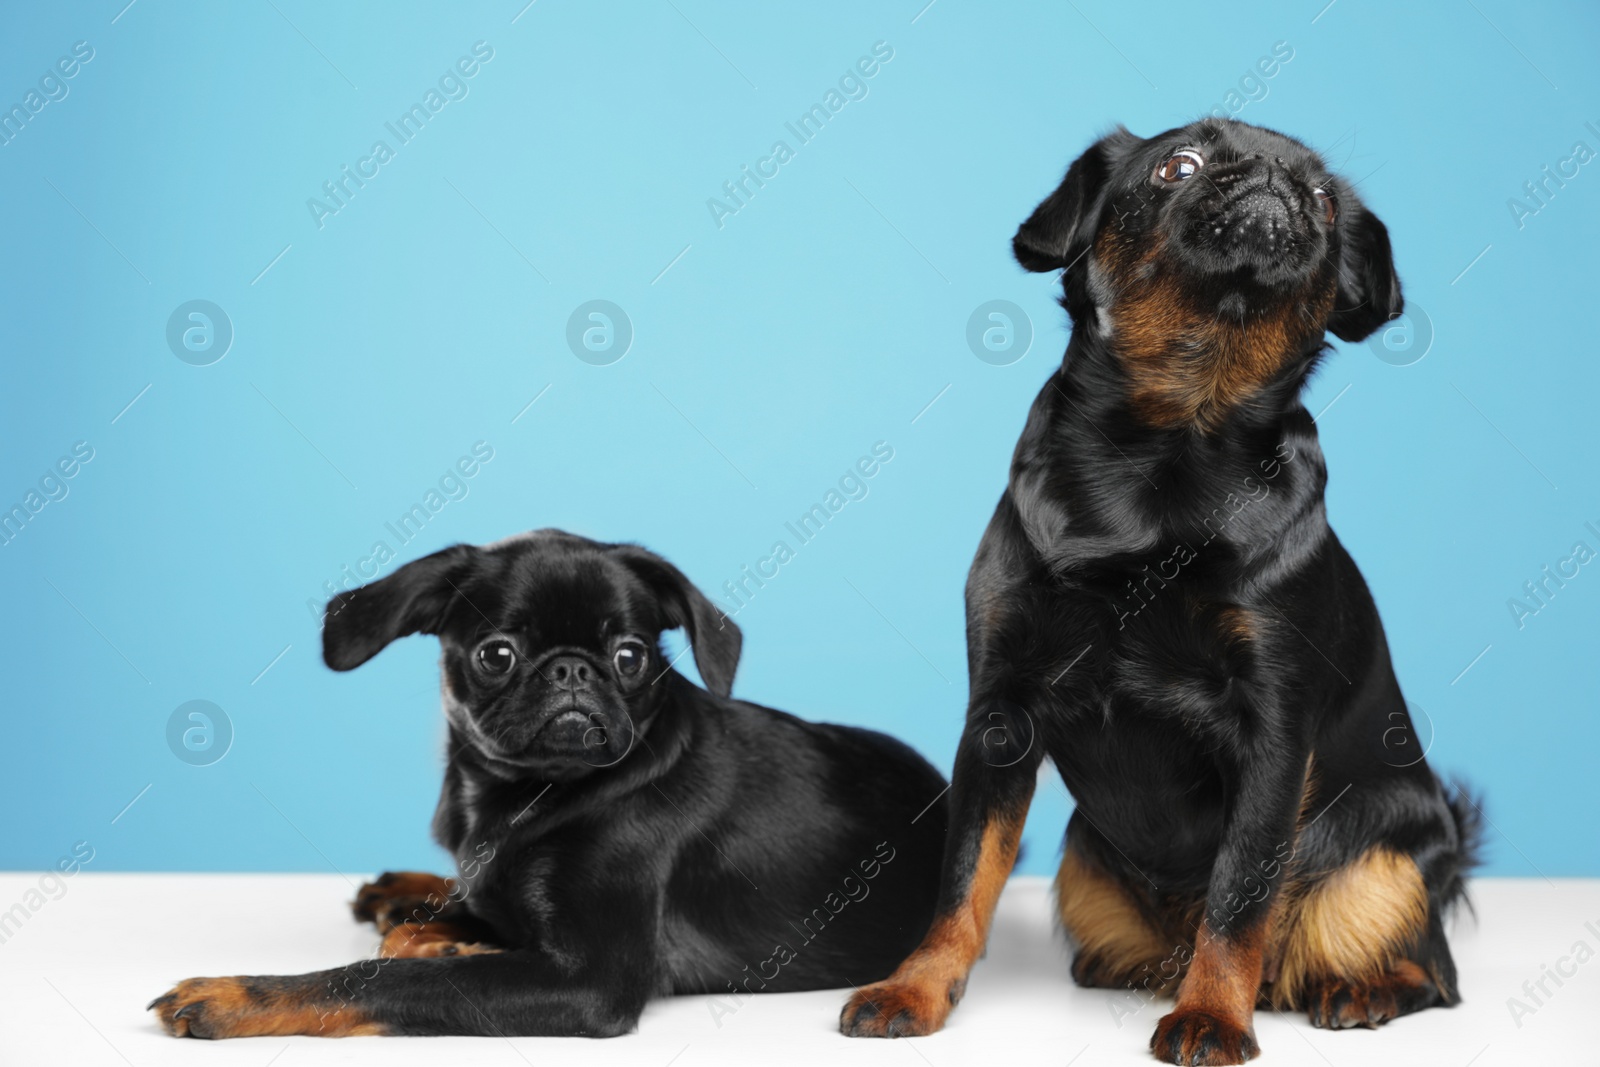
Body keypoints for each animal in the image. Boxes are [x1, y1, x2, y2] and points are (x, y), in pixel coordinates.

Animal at [147, 531, 947, 1036]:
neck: (515, 798)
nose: (571, 669)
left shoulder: (591, 981)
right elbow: (425, 935)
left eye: (630, 656)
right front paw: (443, 936)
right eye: (497, 654)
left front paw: (236, 994)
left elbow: (379, 977)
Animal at [844, 119, 1478, 1062]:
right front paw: (917, 986)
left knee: (1427, 966)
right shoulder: (998, 718)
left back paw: (1354, 988)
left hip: (1386, 858)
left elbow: (1241, 894)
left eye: (1325, 200)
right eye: (1180, 166)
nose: (1274, 176)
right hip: (1082, 860)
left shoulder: (1274, 737)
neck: (1173, 439)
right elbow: (964, 877)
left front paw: (1213, 1013)